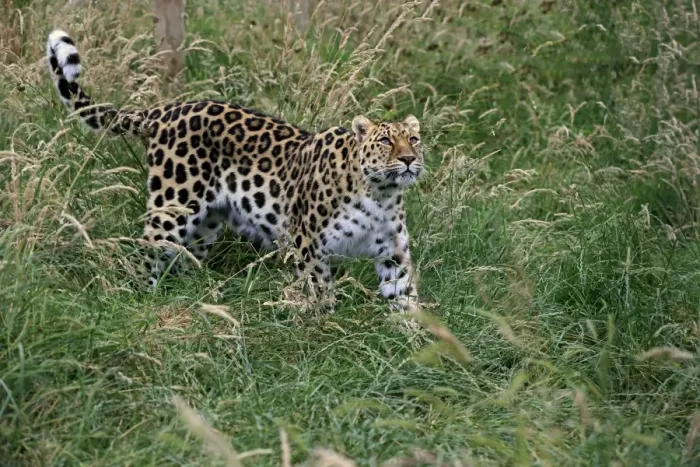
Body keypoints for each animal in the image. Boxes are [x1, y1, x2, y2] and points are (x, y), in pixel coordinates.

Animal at [46, 29, 425, 311]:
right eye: (385, 142)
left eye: (414, 139)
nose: (409, 159)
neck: (380, 194)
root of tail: (164, 110)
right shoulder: (308, 246)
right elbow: (321, 293)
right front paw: (326, 327)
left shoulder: (393, 254)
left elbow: (405, 298)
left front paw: (414, 345)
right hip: (171, 208)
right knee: (145, 253)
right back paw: (139, 300)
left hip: (206, 222)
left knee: (186, 258)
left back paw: (193, 294)